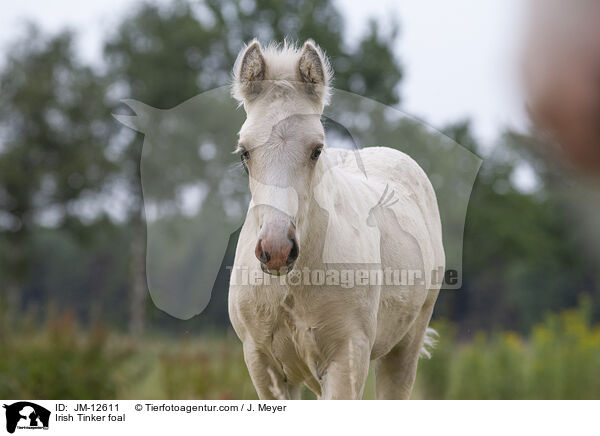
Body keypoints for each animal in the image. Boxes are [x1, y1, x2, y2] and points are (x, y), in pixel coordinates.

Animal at [227, 40, 442, 398]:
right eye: (245, 152)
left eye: (316, 150)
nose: (277, 250)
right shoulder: (263, 365)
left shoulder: (347, 359)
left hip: (404, 348)